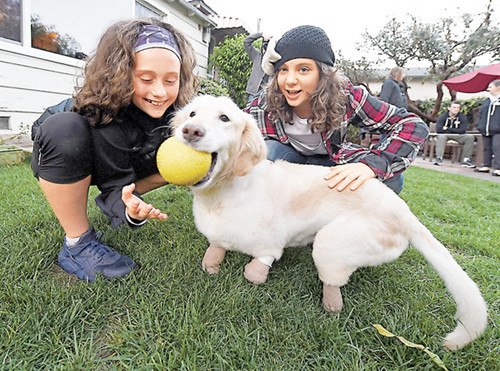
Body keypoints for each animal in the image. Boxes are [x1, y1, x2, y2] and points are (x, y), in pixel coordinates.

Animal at [171, 94, 484, 350]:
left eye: (224, 118)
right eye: (191, 114)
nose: (191, 131)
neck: (221, 193)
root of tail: (403, 212)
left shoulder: (270, 243)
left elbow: (259, 264)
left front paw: (254, 273)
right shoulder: (219, 234)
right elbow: (216, 248)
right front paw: (212, 262)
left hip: (333, 241)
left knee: (333, 281)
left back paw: (330, 304)